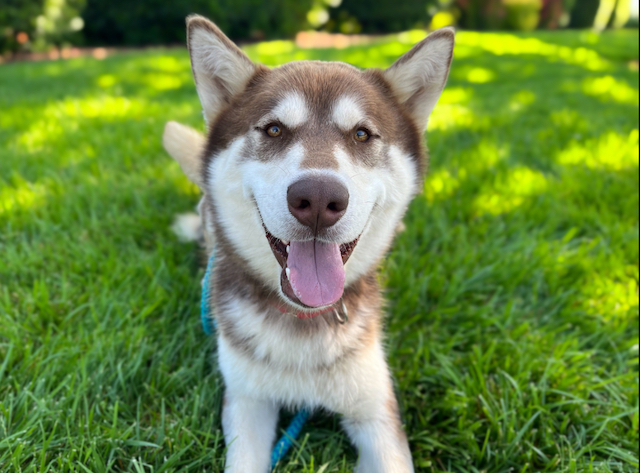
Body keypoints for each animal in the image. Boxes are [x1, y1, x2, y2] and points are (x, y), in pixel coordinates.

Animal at [164, 15, 456, 472]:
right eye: (274, 129)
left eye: (361, 134)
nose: (318, 199)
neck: (304, 321)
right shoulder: (246, 400)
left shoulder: (376, 410)